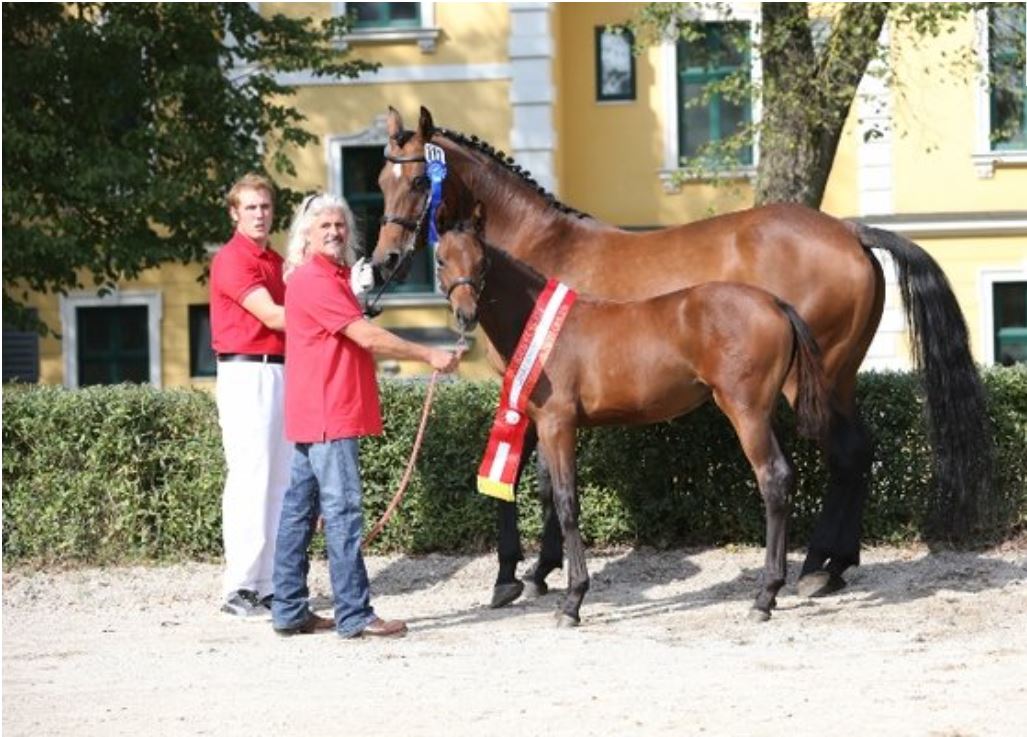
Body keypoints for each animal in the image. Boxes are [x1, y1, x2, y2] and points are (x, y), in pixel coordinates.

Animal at [437, 212, 829, 624]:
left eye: (482, 262)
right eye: (441, 260)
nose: (466, 314)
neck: (544, 330)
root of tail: (775, 303)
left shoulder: (558, 426)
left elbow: (566, 502)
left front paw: (572, 601)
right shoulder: (544, 427)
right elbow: (551, 498)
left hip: (746, 413)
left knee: (773, 479)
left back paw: (764, 597)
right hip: (764, 413)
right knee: (785, 478)